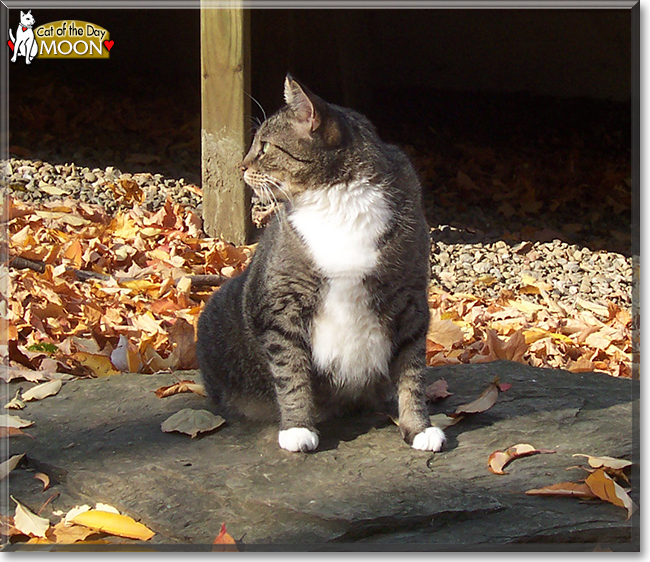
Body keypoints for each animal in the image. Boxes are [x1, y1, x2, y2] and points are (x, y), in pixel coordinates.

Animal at [195, 75, 442, 450]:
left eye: (264, 146)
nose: (241, 166)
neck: (337, 200)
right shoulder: (281, 303)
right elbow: (290, 369)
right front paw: (298, 428)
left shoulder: (409, 299)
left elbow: (412, 372)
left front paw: (419, 428)